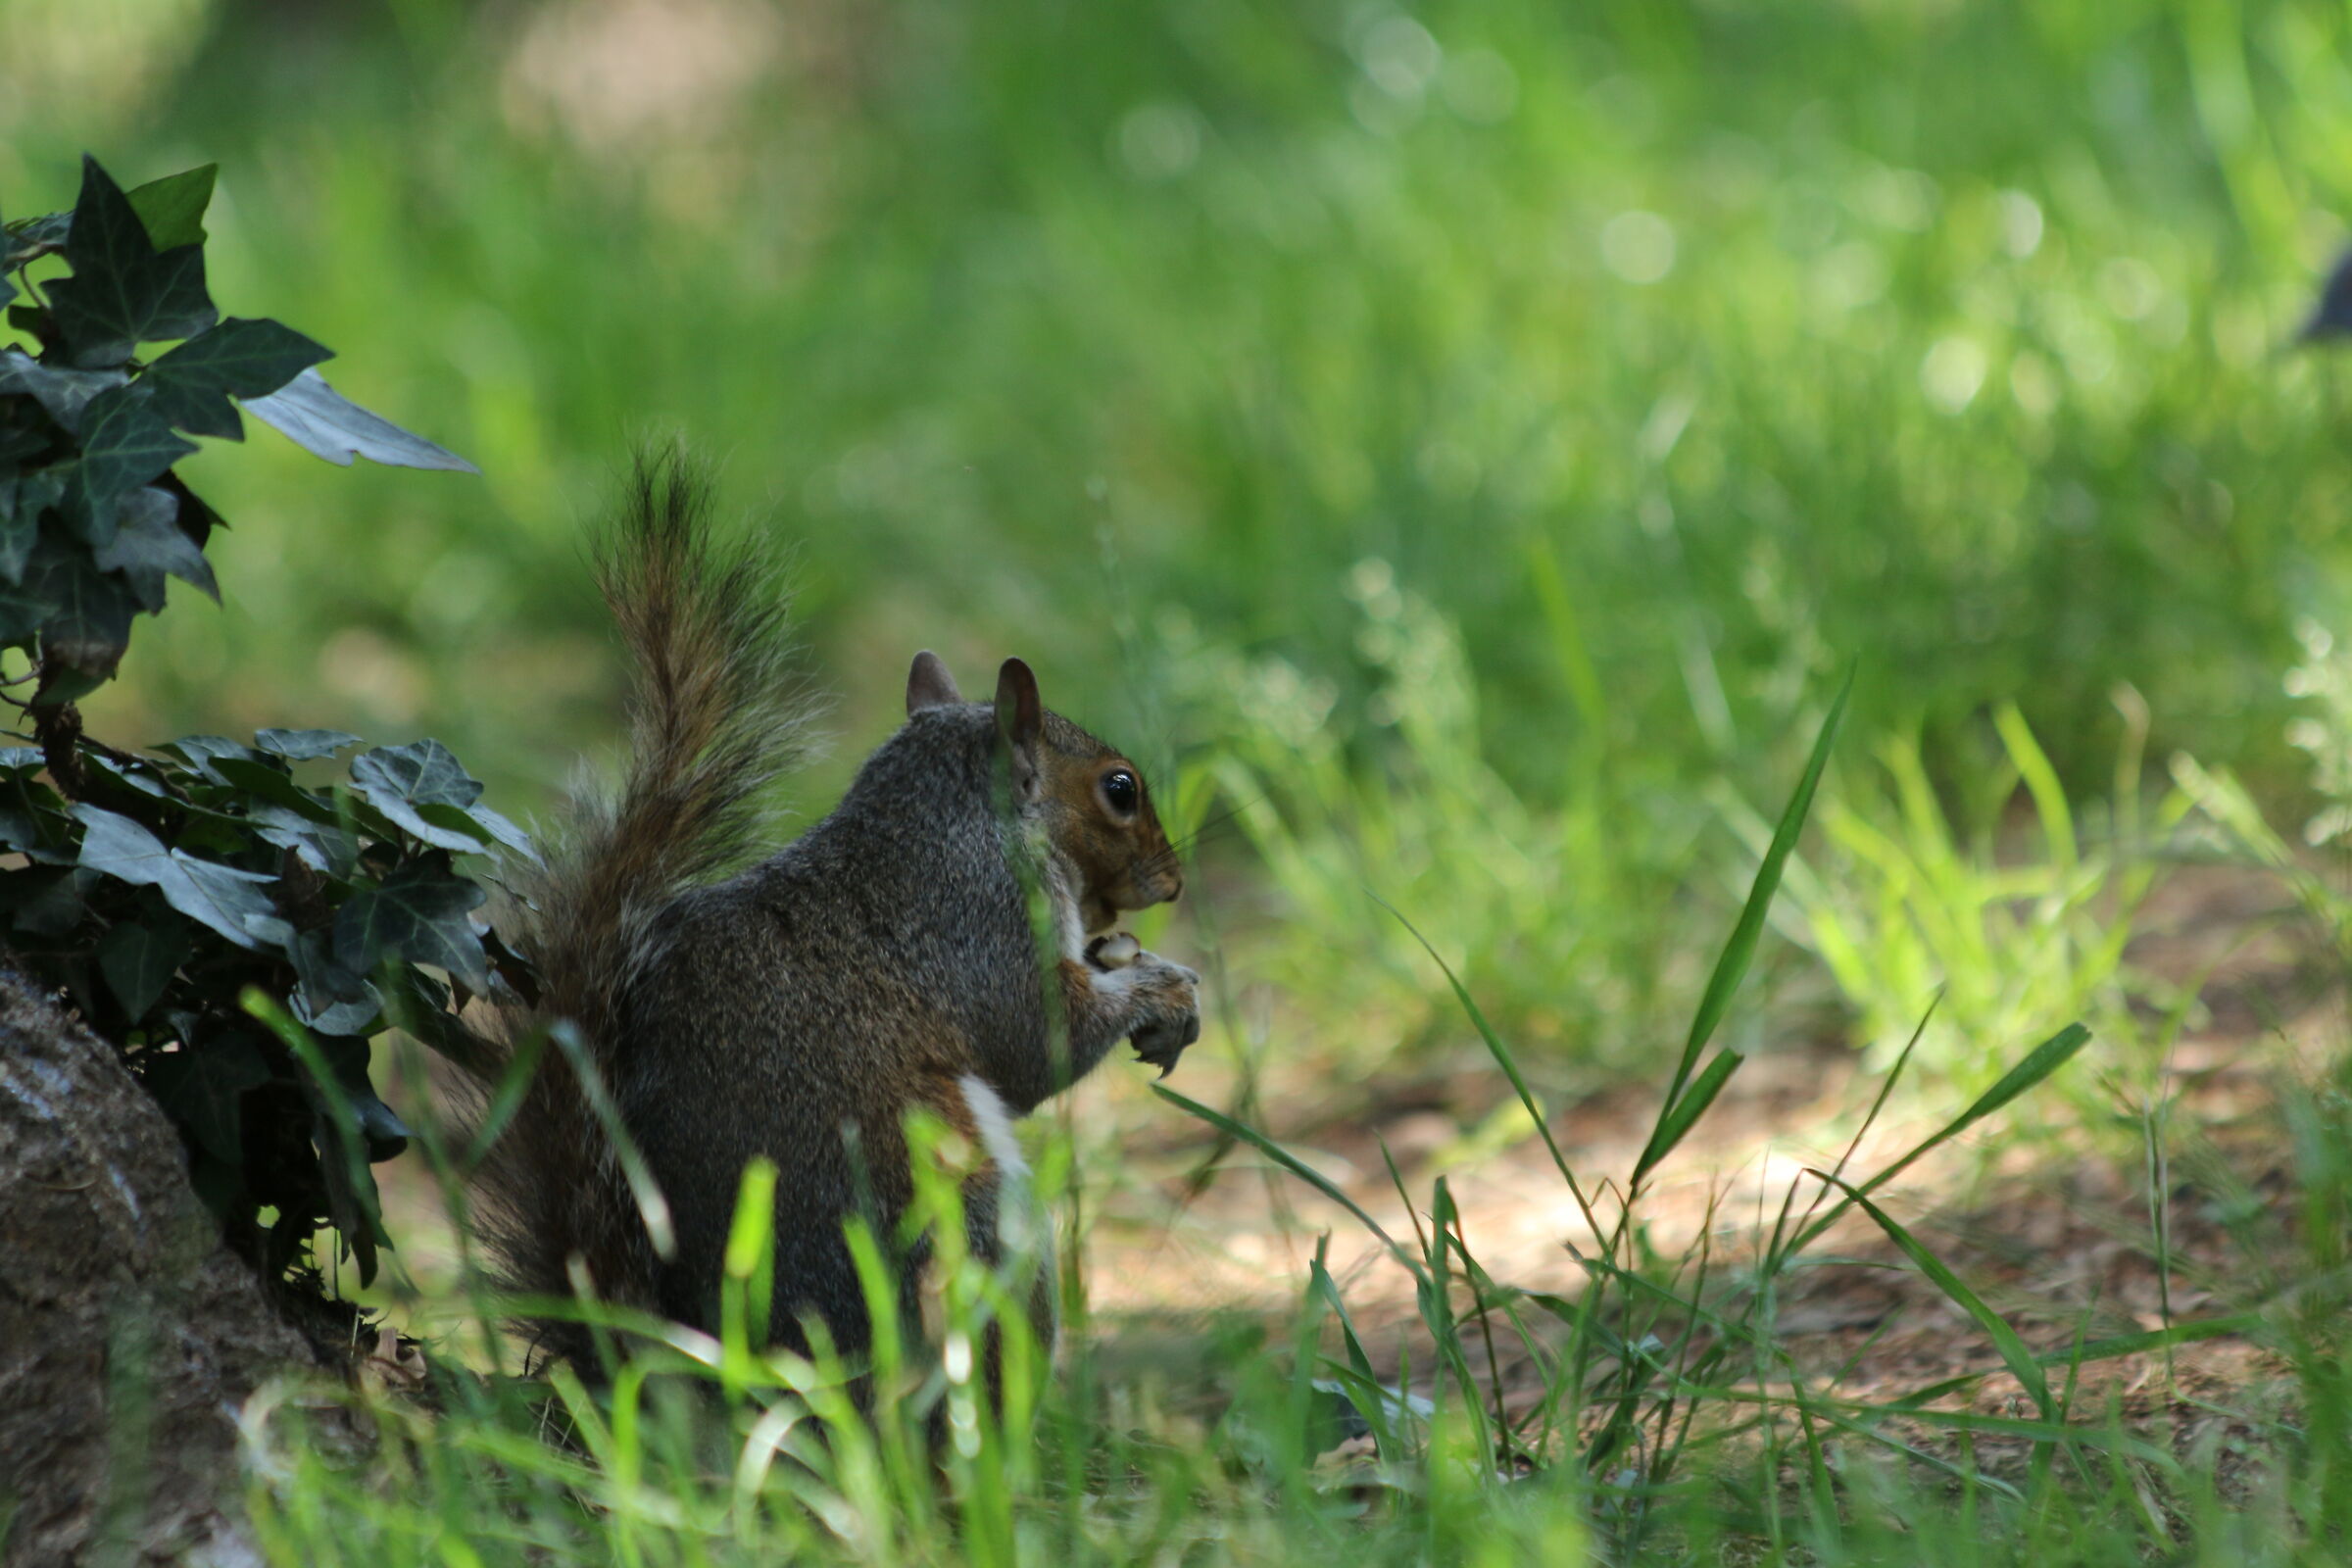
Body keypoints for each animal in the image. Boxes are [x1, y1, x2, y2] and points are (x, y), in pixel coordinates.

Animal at [470, 454, 1202, 1379]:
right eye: (1120, 788)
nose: (1173, 883)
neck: (952, 818)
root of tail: (726, 1370)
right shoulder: (978, 918)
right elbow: (1037, 1042)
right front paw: (1162, 988)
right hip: (967, 1222)